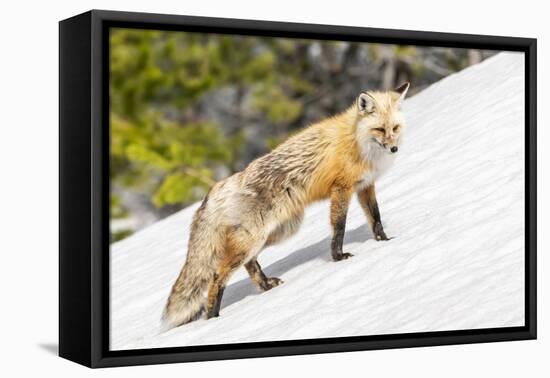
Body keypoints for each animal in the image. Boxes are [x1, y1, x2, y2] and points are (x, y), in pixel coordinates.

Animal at [162, 82, 412, 328]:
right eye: (379, 129)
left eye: (395, 128)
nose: (394, 149)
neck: (356, 140)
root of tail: (218, 188)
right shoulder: (341, 189)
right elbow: (339, 228)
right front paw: (338, 257)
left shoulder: (365, 186)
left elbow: (375, 218)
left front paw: (384, 241)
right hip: (255, 238)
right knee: (216, 277)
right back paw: (212, 318)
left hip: (277, 232)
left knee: (249, 264)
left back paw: (266, 286)